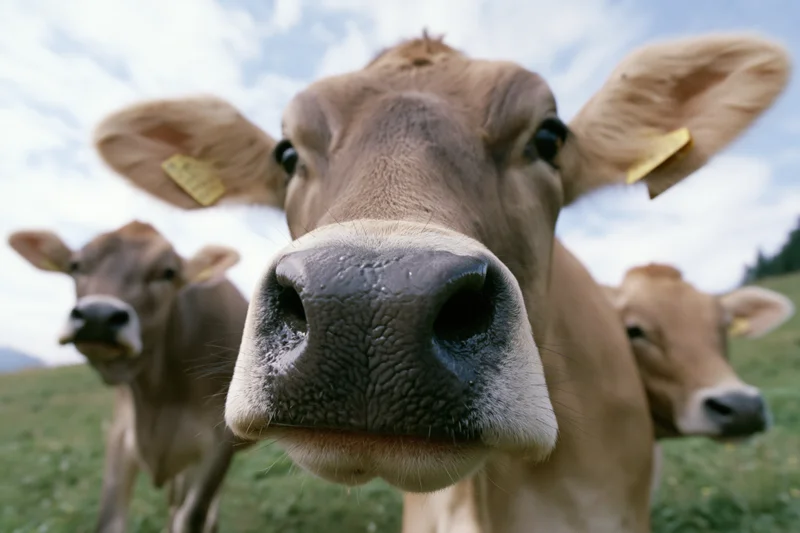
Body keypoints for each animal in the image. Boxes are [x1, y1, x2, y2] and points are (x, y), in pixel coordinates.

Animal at [7, 221, 250, 533]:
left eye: (168, 272)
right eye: (76, 265)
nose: (98, 316)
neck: (161, 398)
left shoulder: (220, 443)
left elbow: (191, 517)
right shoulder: (121, 435)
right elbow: (110, 521)